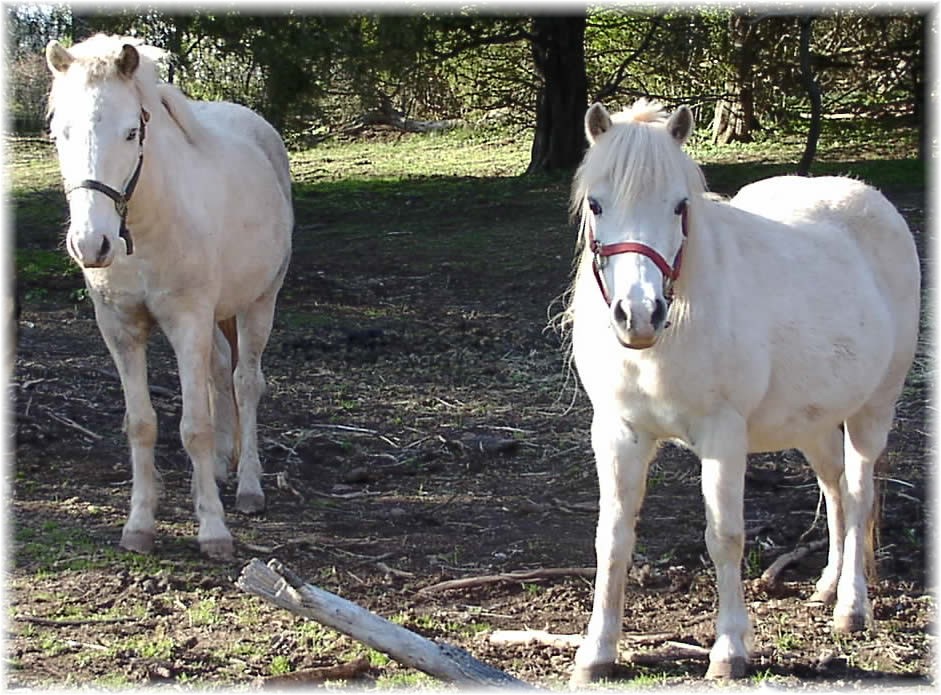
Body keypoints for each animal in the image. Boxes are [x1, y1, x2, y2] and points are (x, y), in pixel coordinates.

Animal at [44, 34, 293, 560]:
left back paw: (248, 486)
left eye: (130, 134)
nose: (91, 244)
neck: (146, 227)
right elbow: (142, 424)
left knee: (245, 382)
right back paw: (219, 469)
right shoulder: (120, 329)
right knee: (220, 370)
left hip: (259, 304)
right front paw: (139, 526)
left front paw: (213, 530)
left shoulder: (187, 322)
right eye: (61, 134)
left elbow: (194, 427)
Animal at [563, 100, 920, 681]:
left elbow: (724, 536)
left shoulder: (722, 436)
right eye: (596, 203)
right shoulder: (618, 432)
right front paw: (597, 652)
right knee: (836, 491)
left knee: (859, 493)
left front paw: (729, 650)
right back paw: (825, 588)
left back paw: (851, 607)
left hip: (873, 409)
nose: (639, 314)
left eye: (680, 205)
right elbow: (612, 539)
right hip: (814, 421)